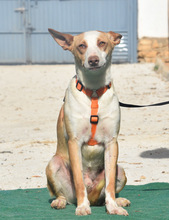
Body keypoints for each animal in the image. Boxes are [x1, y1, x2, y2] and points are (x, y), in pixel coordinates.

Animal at [45, 28, 130, 216]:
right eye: (81, 46)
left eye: (102, 43)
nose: (93, 60)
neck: (94, 92)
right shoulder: (74, 142)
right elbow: (79, 180)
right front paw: (83, 207)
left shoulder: (112, 142)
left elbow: (110, 184)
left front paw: (113, 207)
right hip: (54, 164)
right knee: (65, 195)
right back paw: (61, 202)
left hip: (120, 170)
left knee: (105, 191)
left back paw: (118, 200)